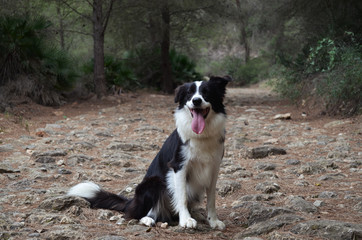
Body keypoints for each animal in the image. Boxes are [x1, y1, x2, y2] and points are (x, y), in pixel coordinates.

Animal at [68, 76, 232, 230]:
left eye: (206, 92)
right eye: (189, 94)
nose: (196, 101)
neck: (201, 136)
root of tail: (132, 202)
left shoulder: (214, 168)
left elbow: (211, 199)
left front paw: (213, 221)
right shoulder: (179, 166)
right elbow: (182, 196)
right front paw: (185, 220)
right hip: (153, 182)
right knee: (142, 212)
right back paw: (148, 219)